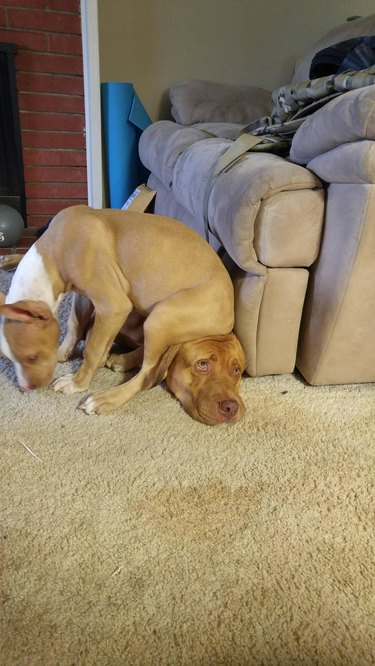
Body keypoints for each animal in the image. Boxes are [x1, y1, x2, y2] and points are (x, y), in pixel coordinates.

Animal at [0, 206, 247, 426]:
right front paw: (63, 352)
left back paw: (105, 398)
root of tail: (229, 317)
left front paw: (76, 383)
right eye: (8, 358)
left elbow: (92, 350)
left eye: (32, 357)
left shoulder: (113, 306)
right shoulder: (84, 296)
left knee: (149, 374)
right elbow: (74, 324)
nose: (26, 388)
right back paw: (122, 360)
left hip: (159, 318)